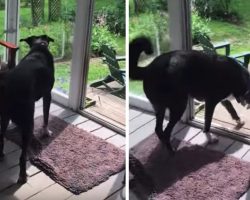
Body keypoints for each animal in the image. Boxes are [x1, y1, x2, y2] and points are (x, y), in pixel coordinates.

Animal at [0, 34, 54, 183]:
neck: (39, 47)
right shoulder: (48, 94)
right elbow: (46, 115)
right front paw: (46, 132)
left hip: (4, 116)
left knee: (1, 137)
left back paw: (1, 155)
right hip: (28, 122)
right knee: (22, 156)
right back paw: (23, 176)